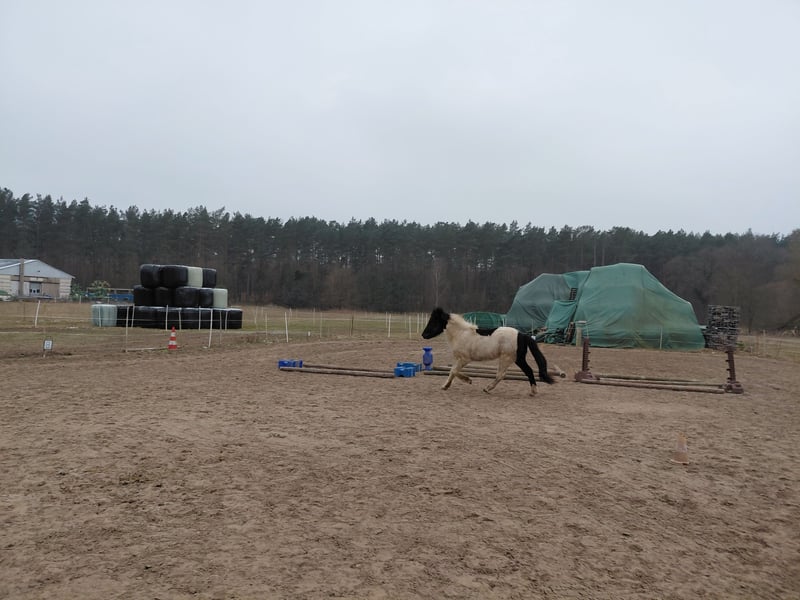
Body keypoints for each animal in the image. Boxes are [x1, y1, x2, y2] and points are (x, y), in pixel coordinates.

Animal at [421, 307, 555, 396]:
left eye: (434, 321)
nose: (423, 335)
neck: (461, 334)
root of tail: (521, 335)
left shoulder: (464, 359)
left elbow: (453, 371)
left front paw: (463, 381)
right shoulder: (460, 359)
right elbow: (453, 371)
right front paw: (450, 385)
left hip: (508, 358)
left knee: (501, 375)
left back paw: (487, 388)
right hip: (518, 359)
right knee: (529, 371)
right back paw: (533, 392)